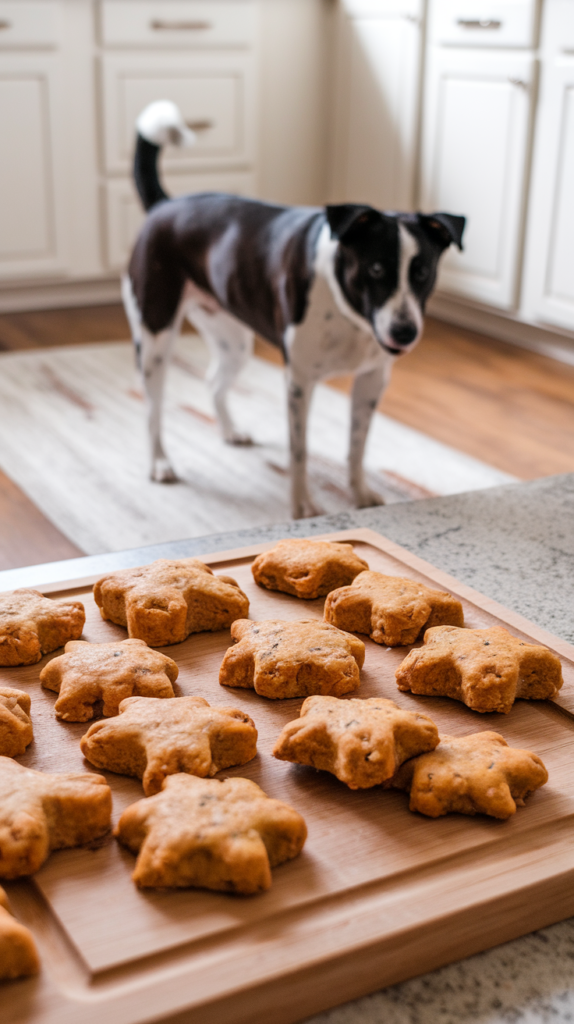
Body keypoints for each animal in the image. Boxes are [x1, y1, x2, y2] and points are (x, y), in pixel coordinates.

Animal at [123, 101, 462, 520]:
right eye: (376, 269)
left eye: (422, 272)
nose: (405, 332)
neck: (349, 314)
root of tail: (166, 205)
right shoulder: (299, 382)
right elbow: (299, 451)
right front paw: (303, 506)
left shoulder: (371, 380)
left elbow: (357, 447)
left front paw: (360, 495)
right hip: (155, 339)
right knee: (152, 408)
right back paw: (160, 462)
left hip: (233, 341)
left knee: (214, 381)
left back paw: (230, 431)